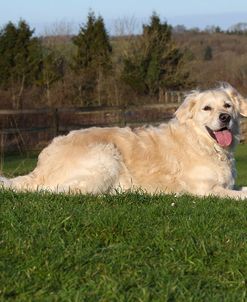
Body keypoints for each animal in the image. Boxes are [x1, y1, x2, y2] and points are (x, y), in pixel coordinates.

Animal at [0, 84, 247, 199]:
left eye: (227, 105)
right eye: (207, 108)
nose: (225, 117)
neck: (203, 144)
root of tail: (40, 165)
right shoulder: (205, 189)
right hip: (106, 156)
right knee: (61, 191)